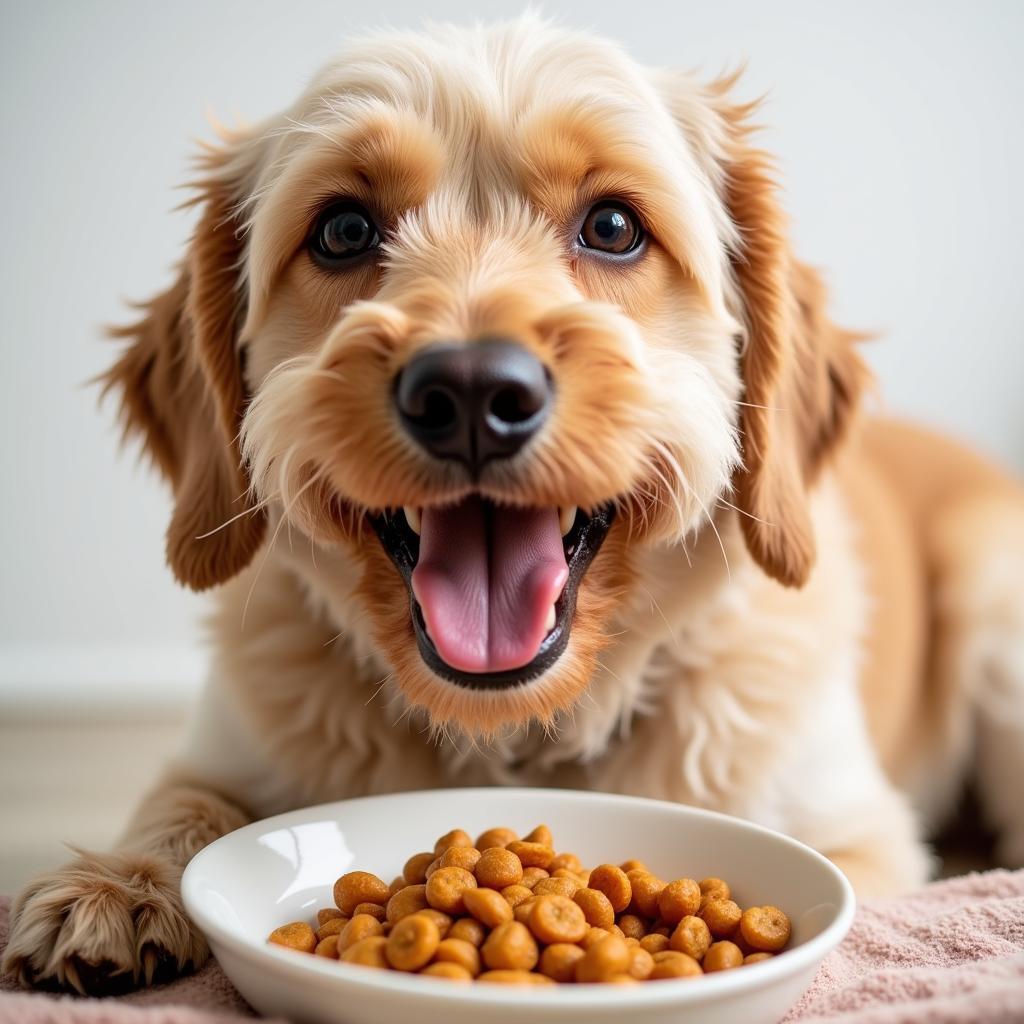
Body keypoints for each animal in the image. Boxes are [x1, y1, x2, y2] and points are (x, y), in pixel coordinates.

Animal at [4, 14, 1019, 991]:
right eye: (343, 231)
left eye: (612, 225)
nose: (469, 393)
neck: (514, 735)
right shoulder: (218, 755)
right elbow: (181, 807)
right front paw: (114, 884)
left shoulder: (860, 834)